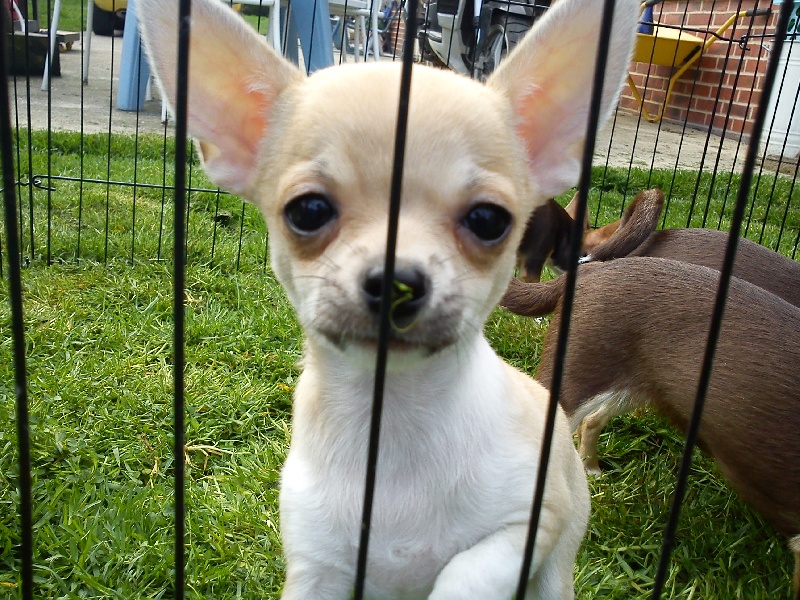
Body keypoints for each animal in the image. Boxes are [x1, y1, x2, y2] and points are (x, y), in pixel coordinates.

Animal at [138, 0, 640, 596]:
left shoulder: (531, 523)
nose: (397, 279)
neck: (392, 421)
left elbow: (465, 573)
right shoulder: (317, 568)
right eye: (307, 211)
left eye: (489, 221)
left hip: (557, 564)